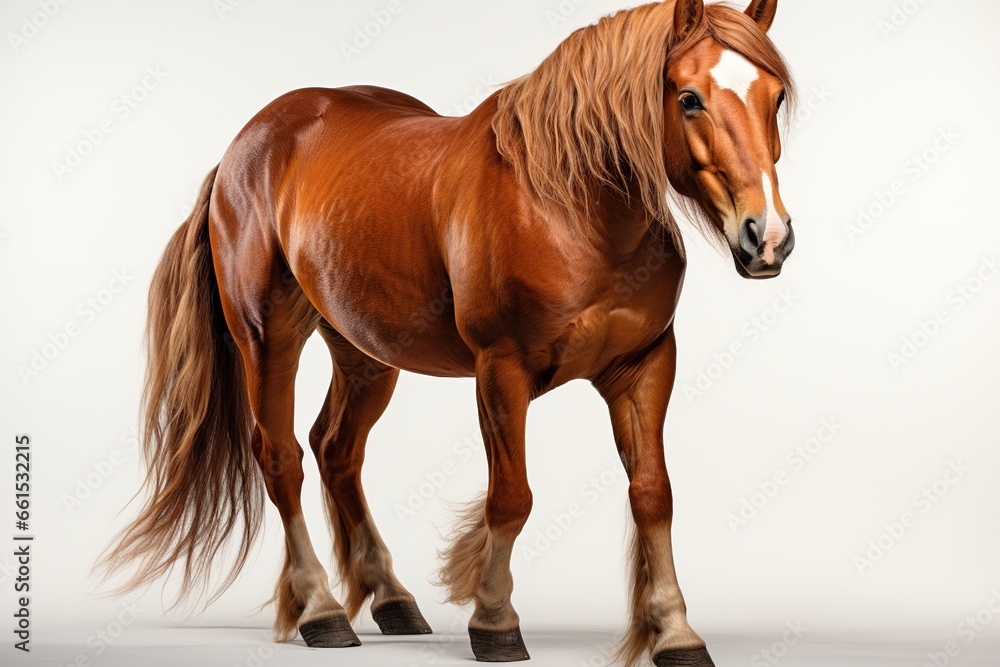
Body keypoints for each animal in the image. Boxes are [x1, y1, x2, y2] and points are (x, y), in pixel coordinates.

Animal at [99, 1, 796, 665]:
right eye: (689, 97)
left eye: (776, 96)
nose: (768, 237)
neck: (572, 207)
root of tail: (242, 147)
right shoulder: (501, 370)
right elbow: (510, 498)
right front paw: (495, 622)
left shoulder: (645, 365)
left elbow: (653, 495)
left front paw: (676, 633)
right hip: (267, 336)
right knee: (282, 459)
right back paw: (321, 610)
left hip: (365, 354)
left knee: (336, 450)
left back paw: (392, 598)